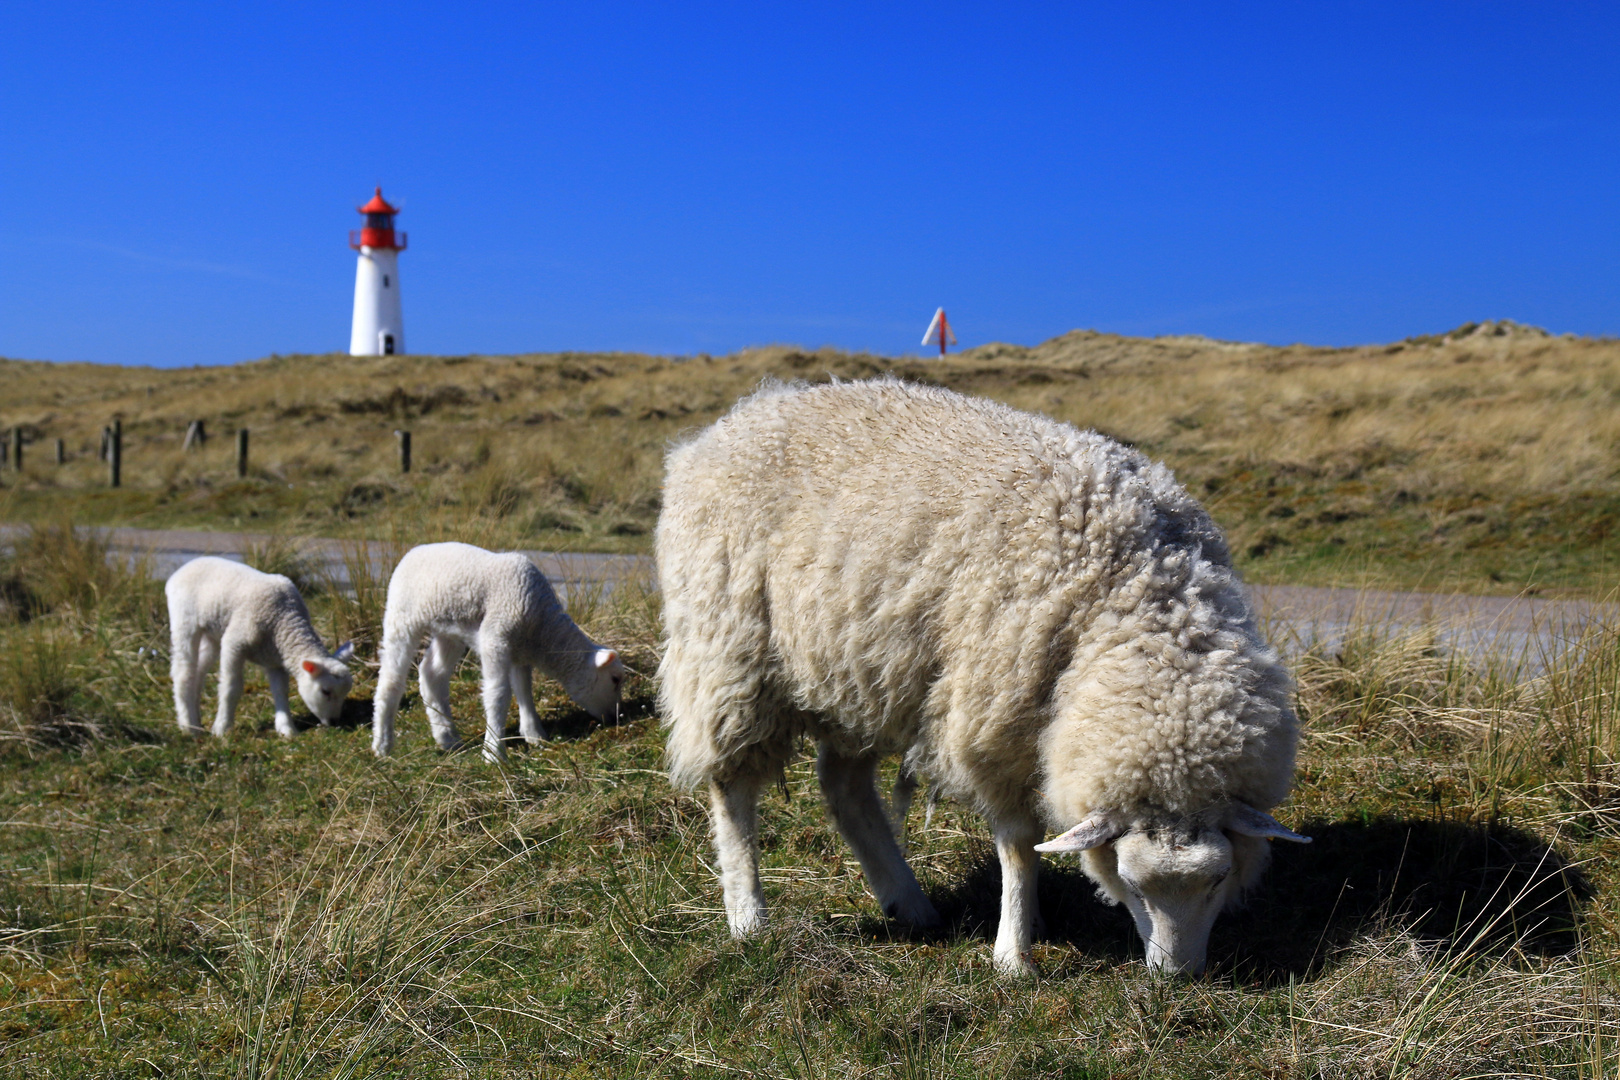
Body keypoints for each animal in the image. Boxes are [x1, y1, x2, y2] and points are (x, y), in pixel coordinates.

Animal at [164, 563, 354, 738]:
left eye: (345, 693)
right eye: (326, 691)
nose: (334, 722)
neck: (283, 620)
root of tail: (182, 569)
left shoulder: (275, 659)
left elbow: (280, 692)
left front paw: (287, 729)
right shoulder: (234, 642)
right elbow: (231, 688)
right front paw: (221, 728)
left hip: (212, 635)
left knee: (198, 673)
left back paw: (196, 722)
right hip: (184, 620)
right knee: (183, 673)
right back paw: (188, 727)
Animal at [370, 544, 625, 764]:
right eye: (614, 679)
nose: (615, 718)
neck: (542, 629)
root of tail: (413, 551)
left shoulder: (519, 651)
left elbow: (524, 690)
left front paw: (535, 735)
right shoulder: (496, 639)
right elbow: (498, 695)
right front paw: (494, 753)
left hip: (448, 630)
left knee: (431, 674)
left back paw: (448, 738)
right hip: (401, 616)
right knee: (390, 680)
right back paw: (382, 744)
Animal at [651, 382, 1308, 977]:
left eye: (1219, 878)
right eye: (1130, 881)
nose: (1179, 978)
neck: (1140, 592)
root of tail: (724, 428)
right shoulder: (997, 719)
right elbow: (1018, 844)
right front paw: (1014, 953)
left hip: (856, 670)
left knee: (843, 787)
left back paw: (908, 903)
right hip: (731, 651)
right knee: (732, 786)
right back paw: (749, 918)